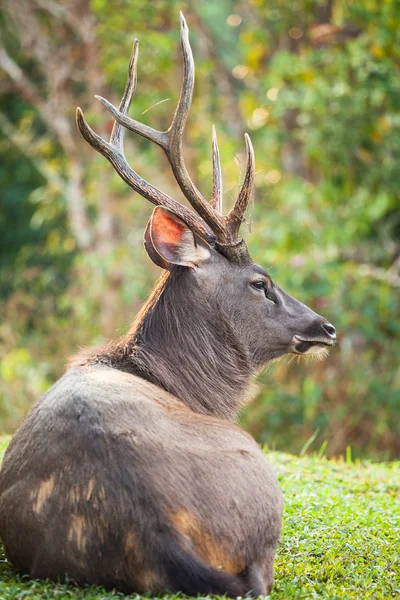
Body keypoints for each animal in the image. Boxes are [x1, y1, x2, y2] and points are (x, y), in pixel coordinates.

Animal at [0, 14, 338, 600]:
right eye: (261, 282)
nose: (326, 326)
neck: (185, 386)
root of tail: (151, 522)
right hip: (259, 480)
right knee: (257, 575)